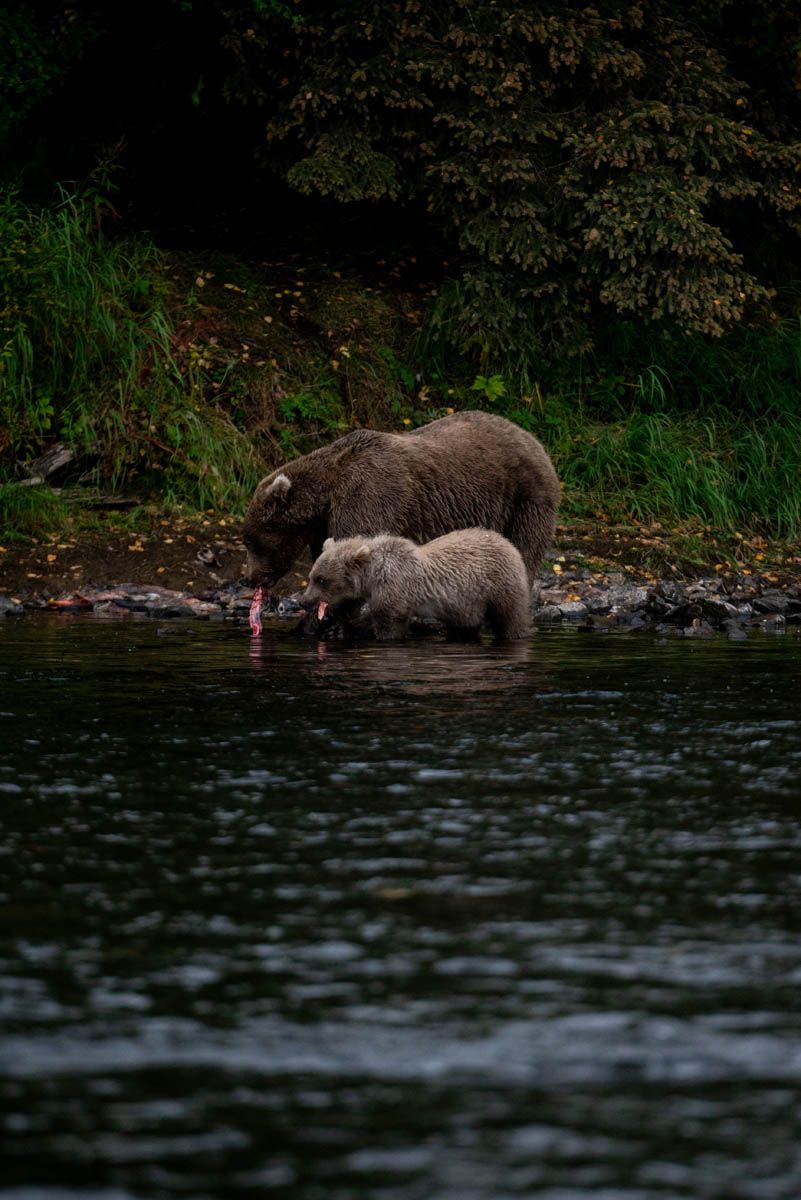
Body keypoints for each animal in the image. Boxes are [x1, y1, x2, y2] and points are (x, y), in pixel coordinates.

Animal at [241, 408, 561, 590]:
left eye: (254, 541)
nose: (250, 578)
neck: (327, 495)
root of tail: (532, 438)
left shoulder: (369, 498)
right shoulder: (323, 524)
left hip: (523, 496)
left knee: (524, 547)